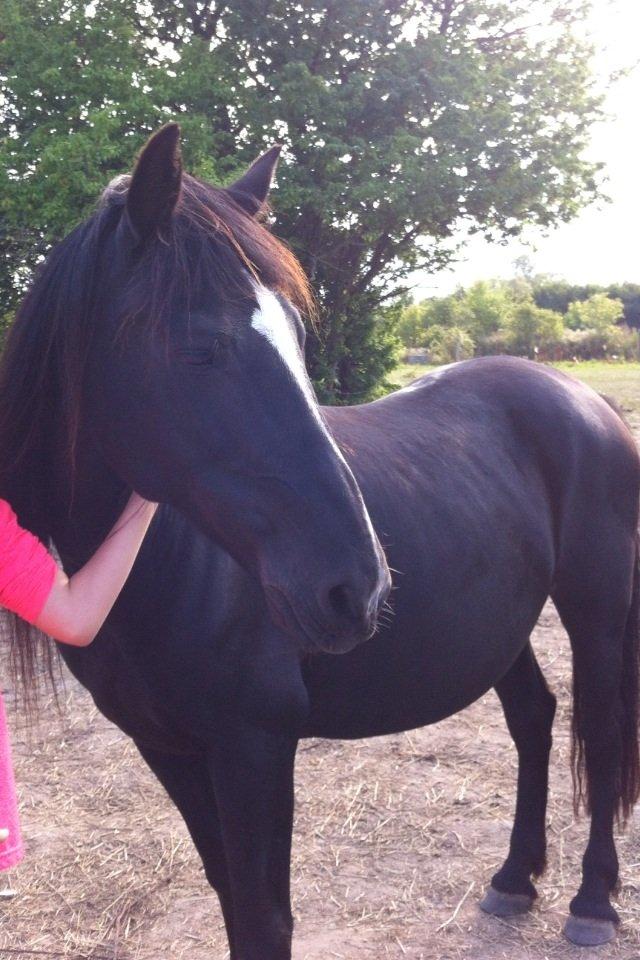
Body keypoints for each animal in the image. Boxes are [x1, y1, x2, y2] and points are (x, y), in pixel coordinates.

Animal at [2, 124, 636, 956]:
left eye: (299, 338)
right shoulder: (166, 746)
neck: (157, 569)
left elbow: (265, 918)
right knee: (534, 716)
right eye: (199, 348)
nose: (358, 589)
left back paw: (592, 901)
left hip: (597, 608)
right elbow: (232, 900)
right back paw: (513, 880)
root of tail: (584, 398)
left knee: (601, 731)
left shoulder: (256, 745)